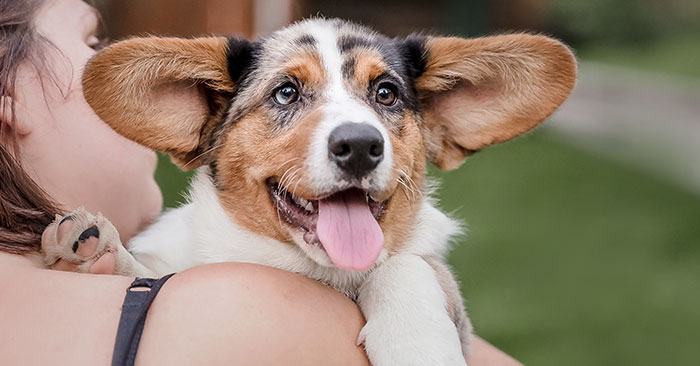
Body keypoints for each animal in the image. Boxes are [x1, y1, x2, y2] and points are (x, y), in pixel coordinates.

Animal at [42, 18, 576, 364]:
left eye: (386, 93)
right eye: (286, 93)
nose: (360, 146)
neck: (312, 270)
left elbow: (405, 264)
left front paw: (417, 345)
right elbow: (147, 269)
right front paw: (97, 251)